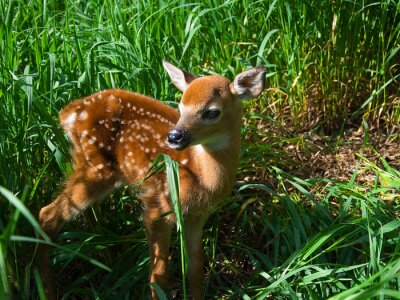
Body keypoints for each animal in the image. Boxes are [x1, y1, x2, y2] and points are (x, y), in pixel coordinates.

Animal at [38, 59, 266, 298]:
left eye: (212, 112)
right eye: (181, 106)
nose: (174, 136)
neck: (201, 175)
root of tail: (68, 113)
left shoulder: (197, 215)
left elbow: (195, 268)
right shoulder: (158, 206)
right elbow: (160, 275)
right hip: (96, 167)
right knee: (48, 214)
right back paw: (47, 290)